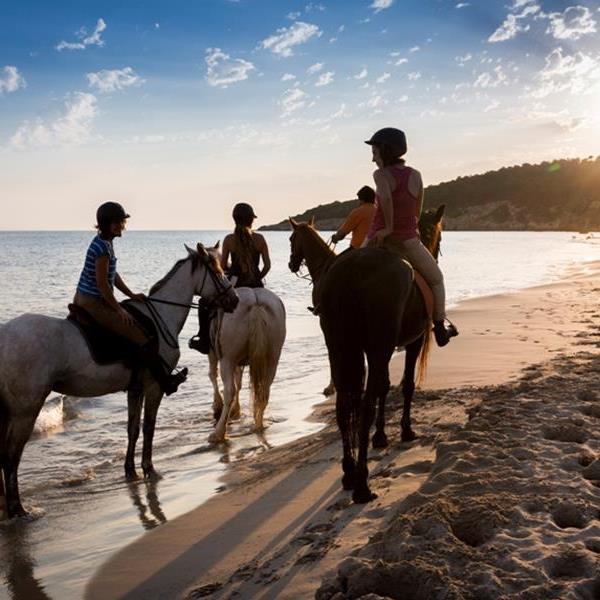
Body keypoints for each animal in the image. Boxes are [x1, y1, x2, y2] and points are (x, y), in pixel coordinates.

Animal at [0, 244, 239, 520]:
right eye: (218, 271)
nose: (235, 300)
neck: (161, 316)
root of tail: (4, 335)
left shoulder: (135, 389)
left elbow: (132, 429)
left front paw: (130, 471)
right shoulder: (154, 386)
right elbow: (148, 427)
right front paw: (149, 469)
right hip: (25, 409)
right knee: (11, 455)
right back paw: (18, 509)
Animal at [288, 206, 442, 502]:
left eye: (290, 240)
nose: (291, 264)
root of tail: (353, 272)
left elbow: (387, 386)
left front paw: (382, 435)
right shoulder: (409, 342)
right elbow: (402, 385)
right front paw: (400, 431)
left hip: (345, 345)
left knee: (349, 403)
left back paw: (352, 474)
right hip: (371, 346)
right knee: (361, 403)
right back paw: (360, 481)